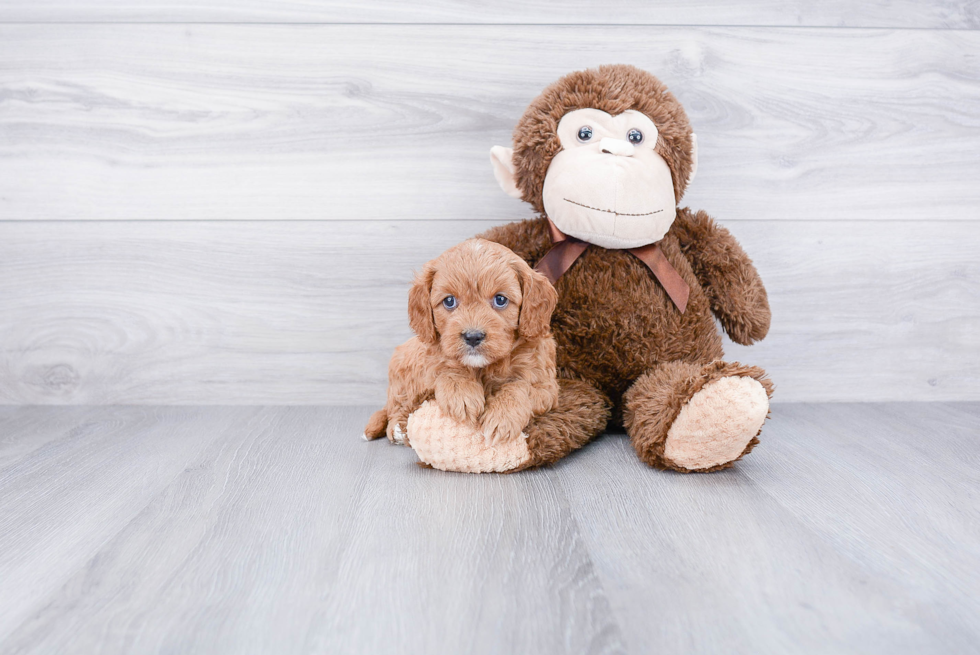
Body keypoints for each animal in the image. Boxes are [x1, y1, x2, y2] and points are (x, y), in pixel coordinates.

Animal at [364, 238, 560, 448]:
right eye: (449, 301)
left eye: (500, 299)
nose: (473, 336)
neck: (483, 368)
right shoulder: (429, 363)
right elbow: (446, 370)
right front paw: (462, 393)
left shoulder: (546, 386)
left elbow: (519, 386)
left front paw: (502, 417)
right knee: (396, 405)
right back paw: (398, 427)